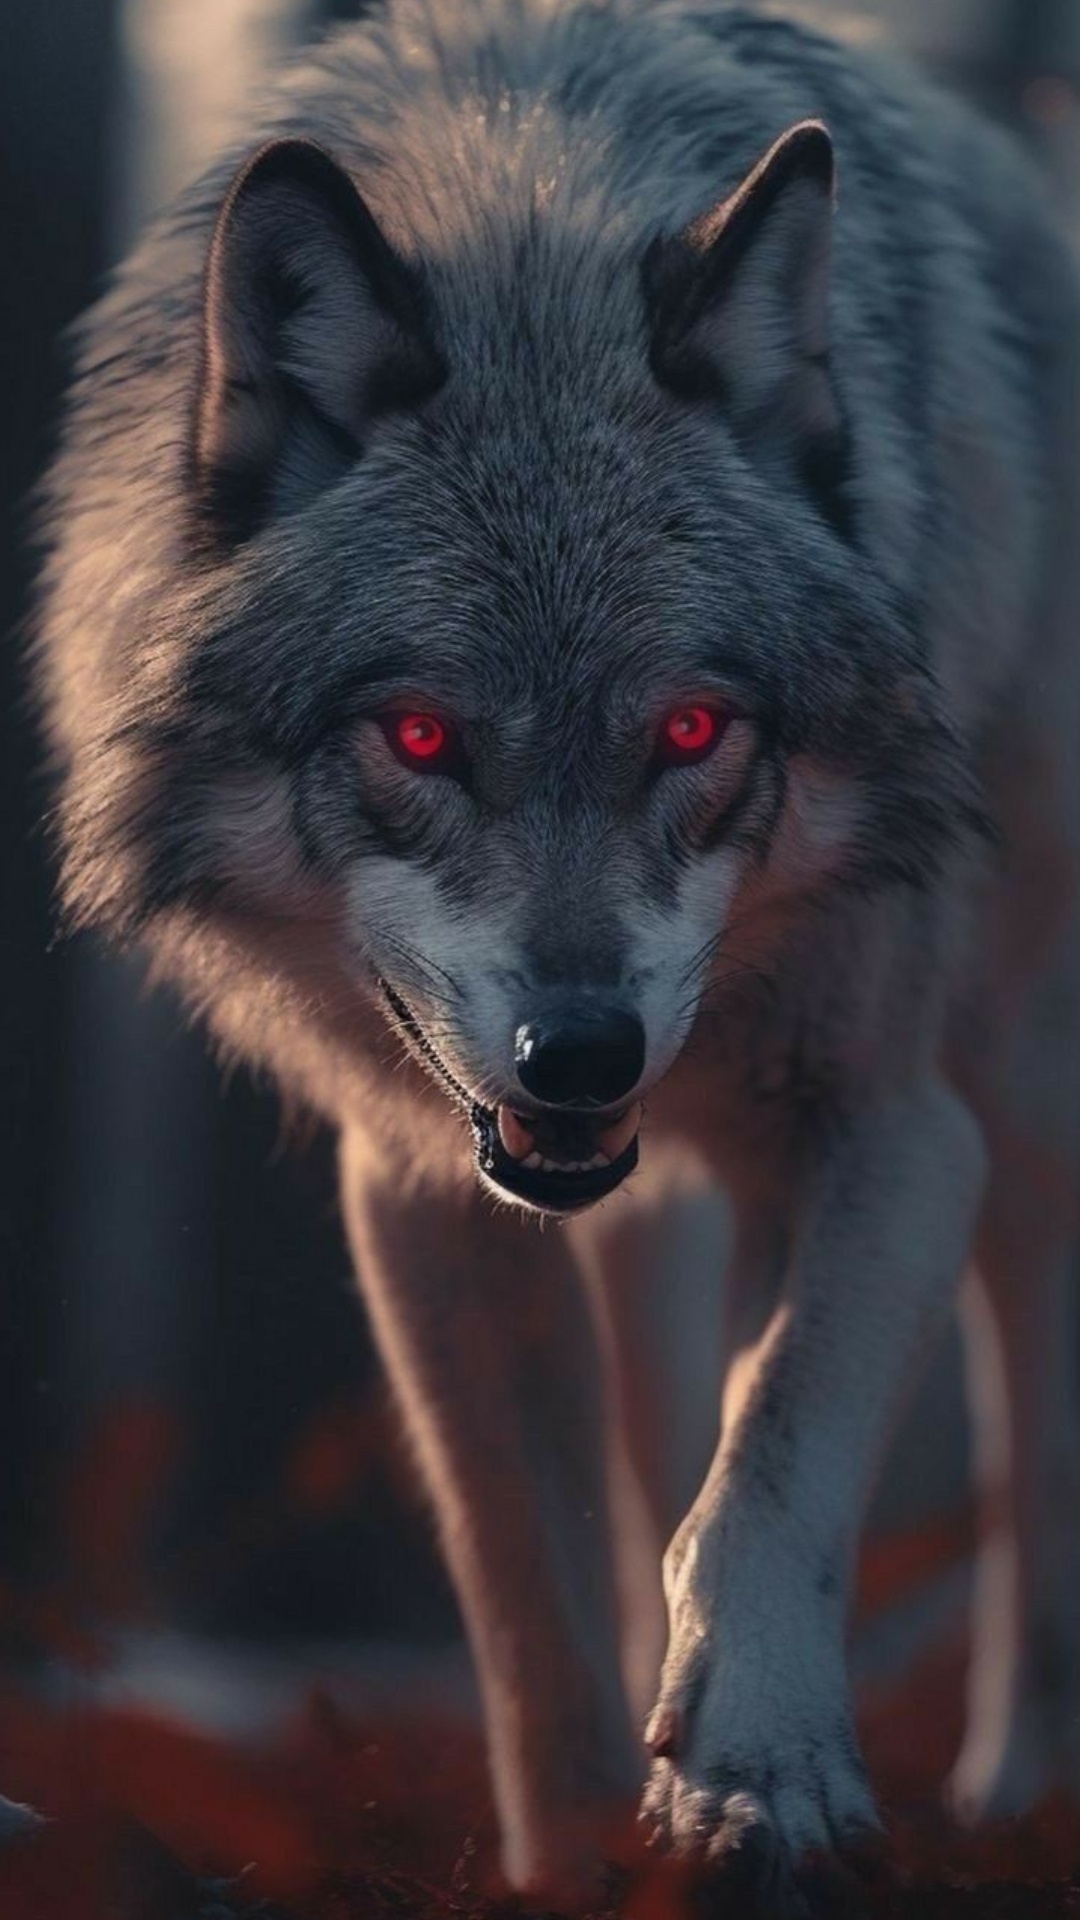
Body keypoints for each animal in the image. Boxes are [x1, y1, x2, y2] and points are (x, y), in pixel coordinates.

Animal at [31, 0, 1080, 1907]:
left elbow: (778, 1453)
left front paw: (762, 1767)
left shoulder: (898, 1128)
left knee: (1027, 1444)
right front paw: (600, 1845)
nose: (580, 1052)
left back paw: (1017, 1791)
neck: (532, 235)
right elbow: (534, 1603)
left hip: (1025, 1088)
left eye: (691, 727)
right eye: (422, 736)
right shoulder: (421, 1194)